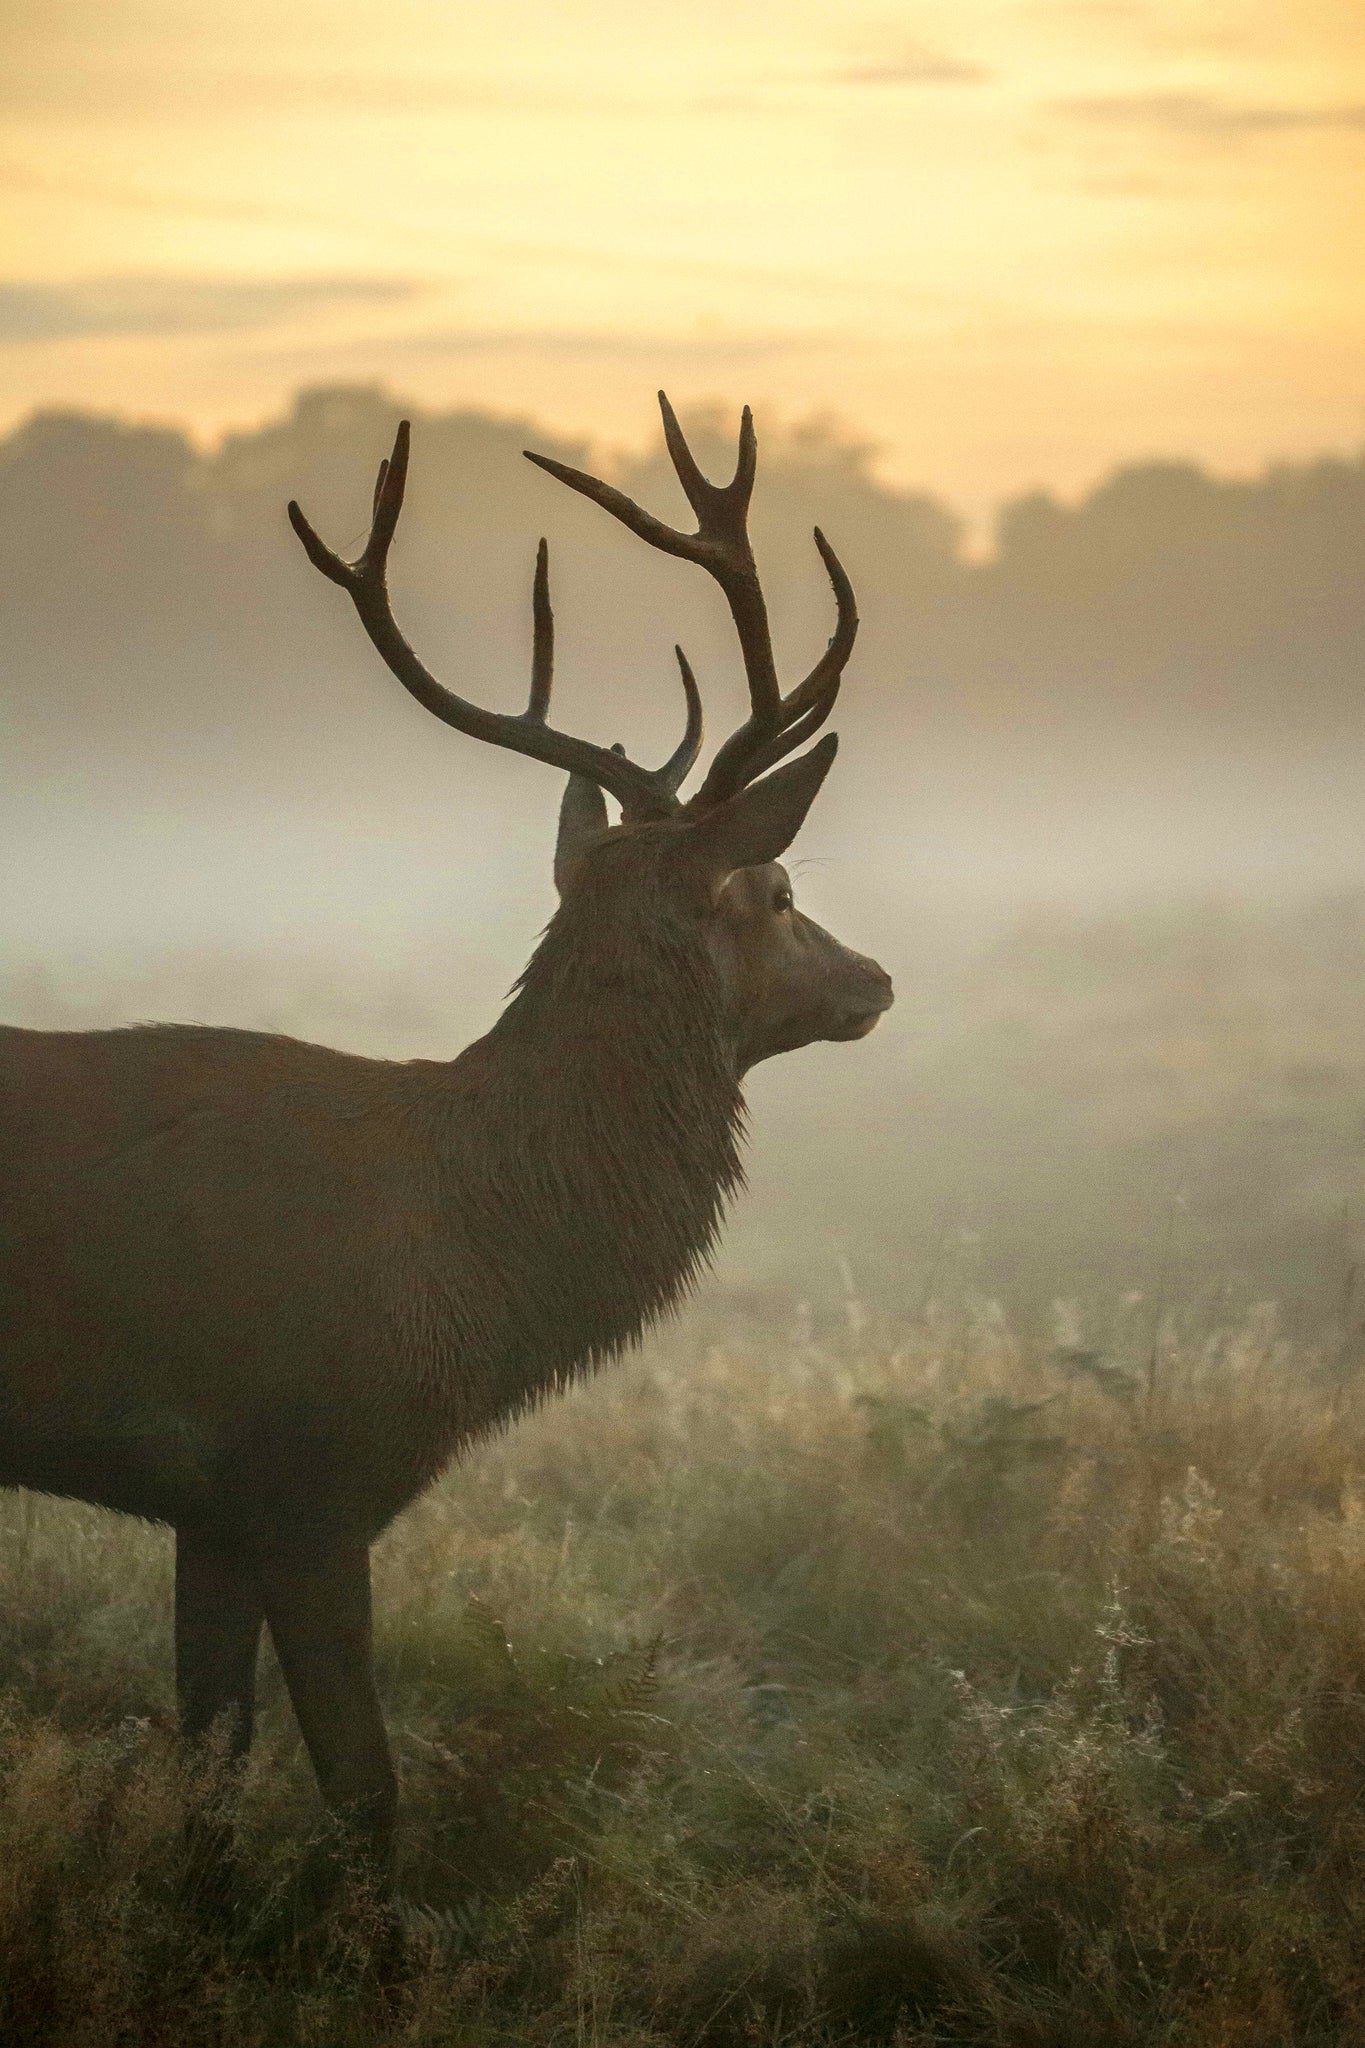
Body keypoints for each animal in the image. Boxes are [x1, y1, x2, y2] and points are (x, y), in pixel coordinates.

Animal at [0, 393, 893, 1877]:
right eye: (773, 891)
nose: (874, 978)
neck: (469, 1264)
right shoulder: (309, 1471)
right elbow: (365, 1789)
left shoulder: (210, 1504)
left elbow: (208, 1759)